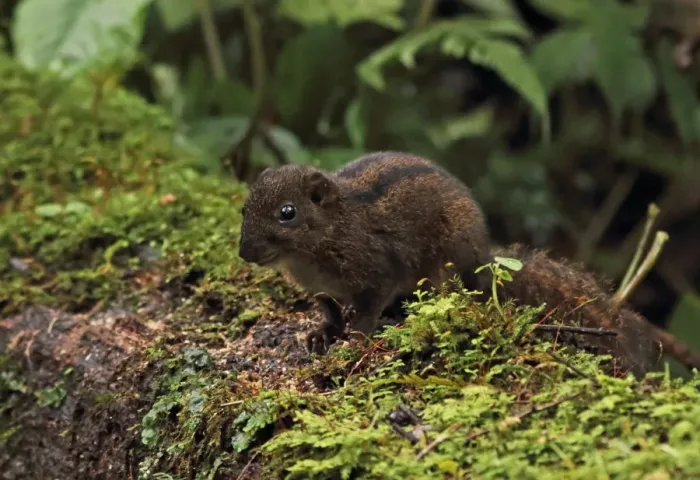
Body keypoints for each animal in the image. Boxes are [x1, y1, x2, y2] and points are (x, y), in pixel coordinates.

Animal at [238, 151, 700, 377]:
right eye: (244, 208)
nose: (244, 253)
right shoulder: (321, 289)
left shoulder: (376, 270)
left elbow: (366, 311)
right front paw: (322, 335)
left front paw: (356, 340)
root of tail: (483, 257)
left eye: (287, 213)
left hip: (445, 268)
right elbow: (330, 310)